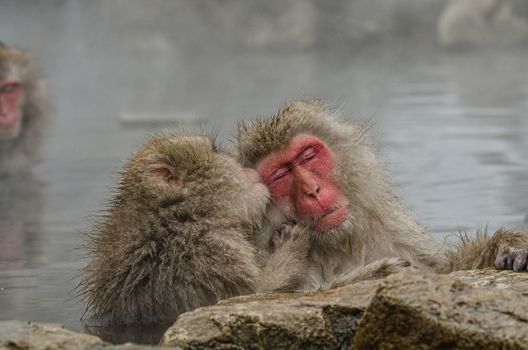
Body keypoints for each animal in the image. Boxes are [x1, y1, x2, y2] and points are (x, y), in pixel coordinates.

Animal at [236, 100, 528, 292]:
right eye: (280, 175)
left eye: (308, 155)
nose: (312, 190)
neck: (336, 245)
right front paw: (377, 274)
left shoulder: (392, 230)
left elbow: (445, 269)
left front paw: (508, 243)